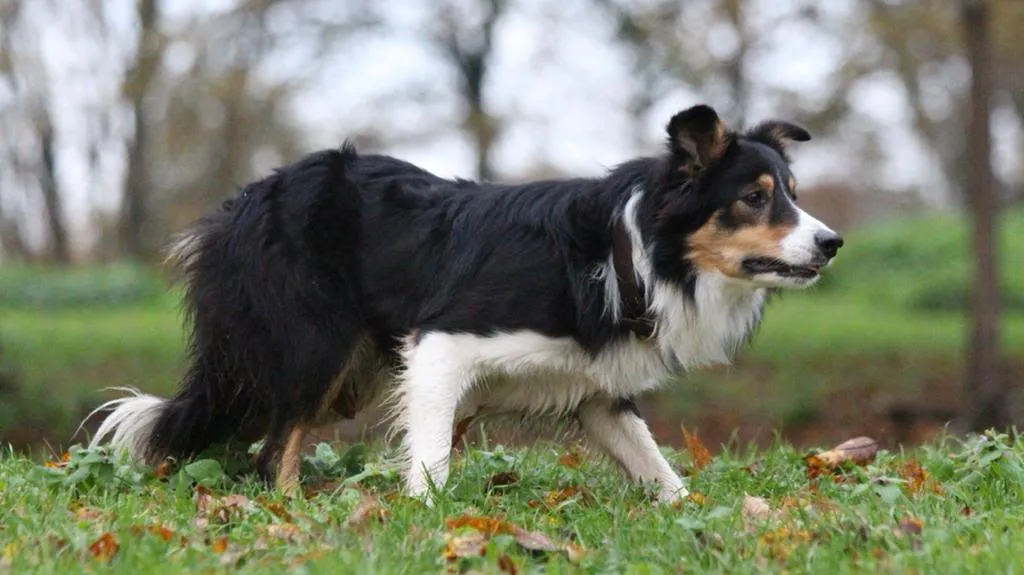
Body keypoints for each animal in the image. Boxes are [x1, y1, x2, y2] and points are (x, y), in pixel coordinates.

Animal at [86, 103, 839, 501]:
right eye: (754, 197)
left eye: (793, 191)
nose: (832, 243)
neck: (627, 252)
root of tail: (236, 206)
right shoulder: (441, 346)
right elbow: (430, 460)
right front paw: (422, 515)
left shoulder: (597, 390)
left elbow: (656, 465)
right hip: (316, 345)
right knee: (276, 449)